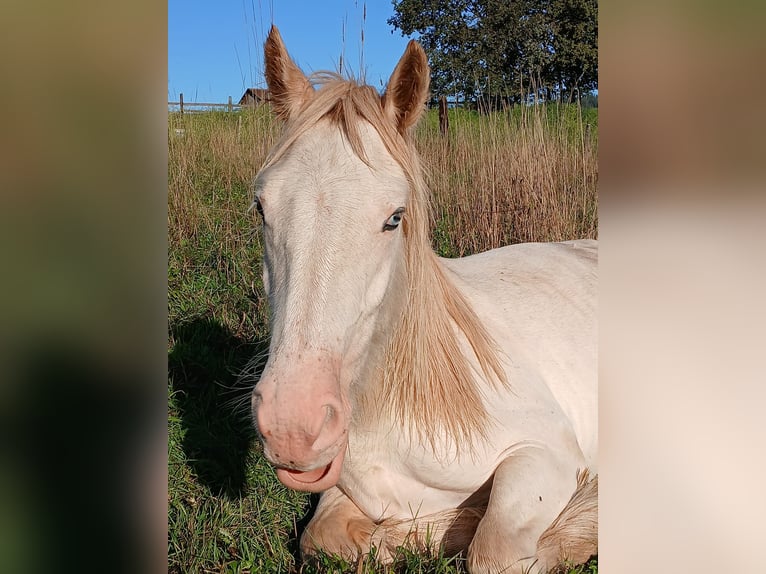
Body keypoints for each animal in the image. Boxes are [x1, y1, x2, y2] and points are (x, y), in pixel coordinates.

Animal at [252, 24, 600, 572]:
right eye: (260, 207)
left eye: (395, 217)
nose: (293, 425)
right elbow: (324, 537)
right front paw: (410, 536)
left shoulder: (547, 452)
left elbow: (494, 549)